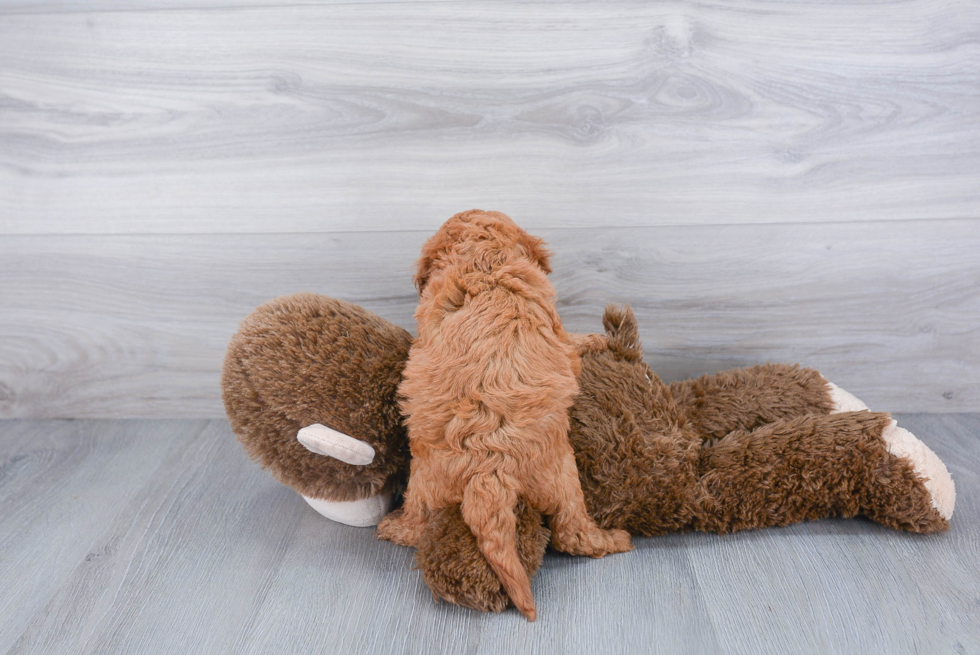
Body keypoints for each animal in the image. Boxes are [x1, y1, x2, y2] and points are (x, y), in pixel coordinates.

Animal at [376, 210, 636, 620]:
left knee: (419, 521)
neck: (484, 262)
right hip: (563, 477)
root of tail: (489, 469)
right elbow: (573, 345)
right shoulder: (557, 333)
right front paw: (596, 339)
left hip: (426, 479)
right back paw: (613, 539)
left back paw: (396, 528)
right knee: (573, 533)